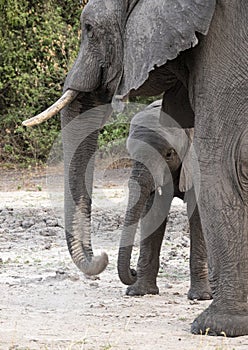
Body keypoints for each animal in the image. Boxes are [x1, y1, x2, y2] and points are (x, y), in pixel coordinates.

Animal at [23, 0, 248, 340]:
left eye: (89, 28)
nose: (102, 256)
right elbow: (153, 210)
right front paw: (139, 293)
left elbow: (218, 167)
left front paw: (214, 324)